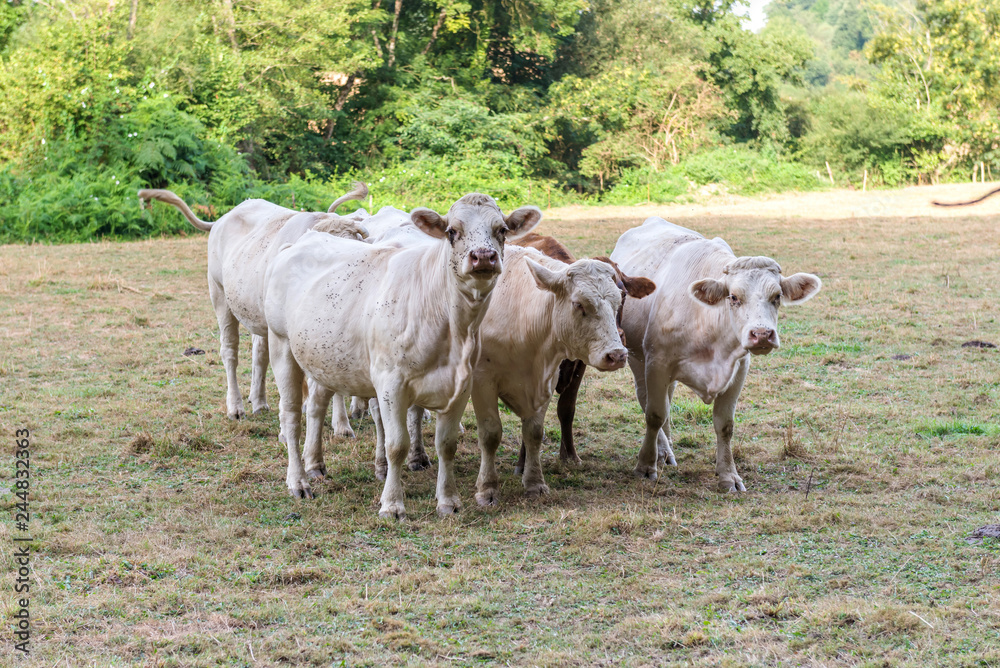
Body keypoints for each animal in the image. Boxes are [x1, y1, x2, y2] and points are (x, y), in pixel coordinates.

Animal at [137, 183, 369, 436]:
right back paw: (236, 407)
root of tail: (223, 218)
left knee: (259, 353)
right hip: (220, 296)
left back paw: (259, 401)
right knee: (229, 351)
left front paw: (339, 423)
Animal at [262, 193, 542, 518]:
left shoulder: (461, 385)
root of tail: (300, 242)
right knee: (292, 415)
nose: (483, 256)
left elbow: (447, 444)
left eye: (502, 230)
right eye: (452, 231)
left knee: (317, 405)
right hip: (281, 345)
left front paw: (448, 501)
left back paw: (315, 463)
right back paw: (298, 481)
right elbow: (397, 444)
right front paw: (392, 504)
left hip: (325, 357)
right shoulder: (391, 383)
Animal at [610, 217, 822, 492]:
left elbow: (724, 425)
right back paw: (660, 450)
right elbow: (654, 414)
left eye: (777, 296)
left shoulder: (739, 369)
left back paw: (666, 451)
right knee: (647, 399)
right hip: (638, 358)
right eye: (733, 297)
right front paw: (645, 465)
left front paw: (728, 475)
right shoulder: (656, 363)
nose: (762, 334)